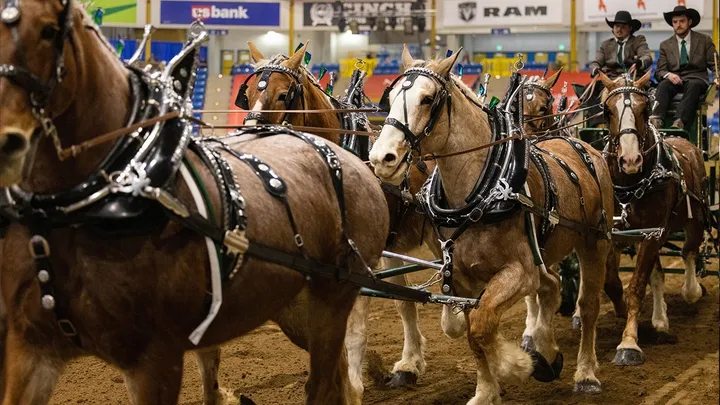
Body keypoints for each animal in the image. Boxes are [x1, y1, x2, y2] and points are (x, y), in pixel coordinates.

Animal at [235, 41, 441, 391]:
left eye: (283, 95)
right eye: (246, 95)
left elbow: (354, 327)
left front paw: (354, 382)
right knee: (406, 301)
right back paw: (409, 364)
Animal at [369, 45, 616, 403]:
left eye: (427, 99)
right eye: (388, 99)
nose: (381, 158)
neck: (481, 195)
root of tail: (582, 146)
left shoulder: (519, 271)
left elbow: (483, 323)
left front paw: (520, 365)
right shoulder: (461, 278)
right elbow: (472, 332)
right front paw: (487, 390)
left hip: (594, 243)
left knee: (588, 306)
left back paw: (585, 373)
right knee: (551, 286)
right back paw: (545, 346)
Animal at [598, 72, 709, 366]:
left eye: (645, 109)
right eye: (607, 111)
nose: (630, 160)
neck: (631, 185)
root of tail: (685, 141)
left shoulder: (651, 233)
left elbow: (637, 285)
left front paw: (629, 343)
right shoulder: (616, 234)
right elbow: (613, 283)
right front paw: (625, 312)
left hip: (694, 218)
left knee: (689, 252)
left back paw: (691, 290)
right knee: (658, 275)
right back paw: (660, 320)